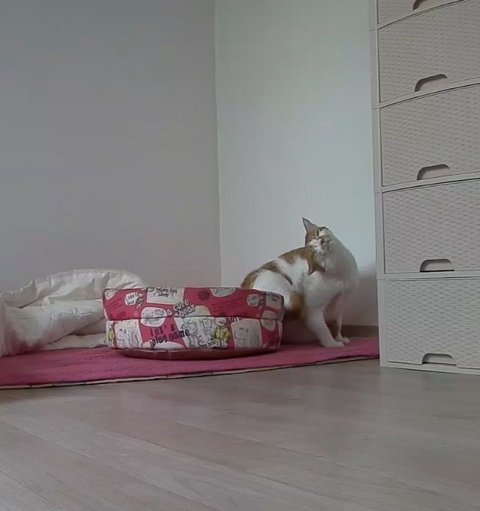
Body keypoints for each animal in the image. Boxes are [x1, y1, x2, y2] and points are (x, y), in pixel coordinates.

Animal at [241, 218, 358, 348]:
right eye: (315, 250)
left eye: (317, 233)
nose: (322, 240)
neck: (339, 269)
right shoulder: (313, 310)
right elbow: (323, 328)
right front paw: (332, 344)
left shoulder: (339, 306)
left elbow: (337, 323)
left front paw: (339, 338)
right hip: (279, 284)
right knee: (293, 305)